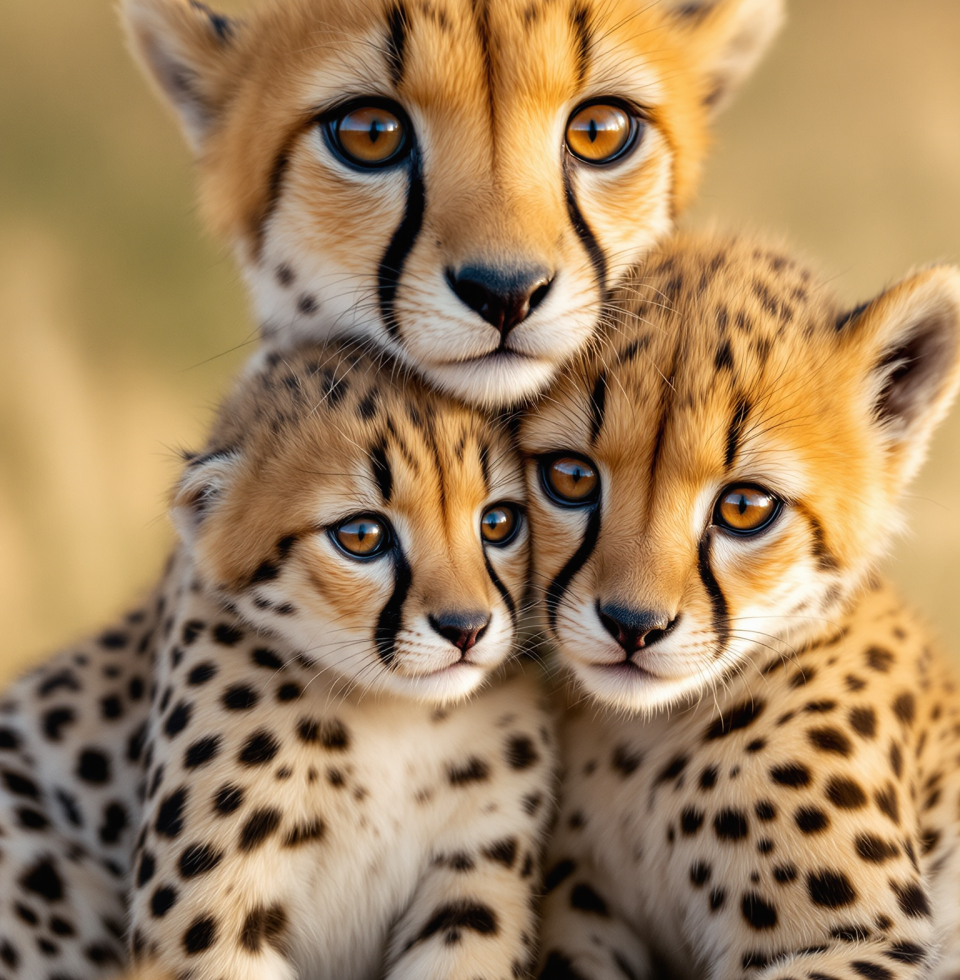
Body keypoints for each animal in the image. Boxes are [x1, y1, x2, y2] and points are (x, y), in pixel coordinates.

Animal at [0, 339, 556, 980]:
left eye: (499, 521)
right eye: (361, 535)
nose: (466, 629)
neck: (395, 717)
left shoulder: (474, 884)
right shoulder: (207, 918)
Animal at [518, 230, 960, 980]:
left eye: (746, 507)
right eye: (571, 477)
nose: (633, 627)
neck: (645, 741)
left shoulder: (866, 945)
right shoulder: (582, 920)